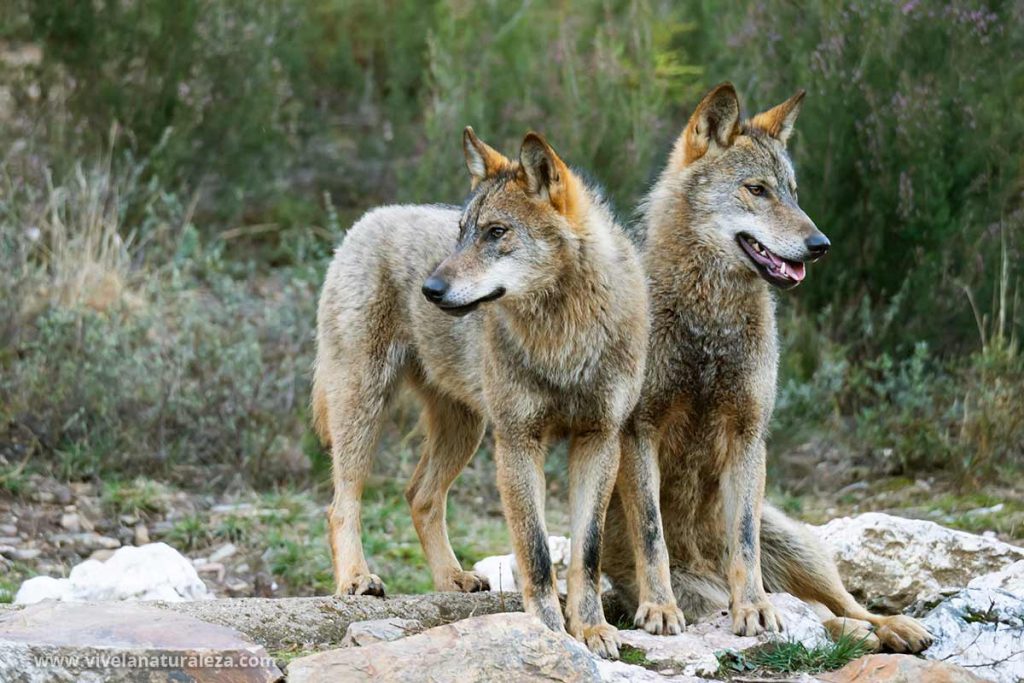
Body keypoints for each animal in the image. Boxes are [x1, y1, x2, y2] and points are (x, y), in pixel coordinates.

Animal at [311, 127, 663, 655]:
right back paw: (356, 579)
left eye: (496, 232)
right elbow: (535, 552)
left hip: (466, 429)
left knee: (420, 495)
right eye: (462, 232)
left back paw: (452, 578)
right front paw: (549, 631)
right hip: (364, 409)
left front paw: (592, 629)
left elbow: (588, 552)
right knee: (341, 505)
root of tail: (371, 217)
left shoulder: (599, 440)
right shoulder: (517, 442)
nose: (430, 290)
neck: (563, 337)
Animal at [606, 82, 937, 655]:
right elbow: (652, 535)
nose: (820, 245)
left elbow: (744, 547)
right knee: (821, 615)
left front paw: (754, 612)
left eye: (794, 192)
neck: (709, 324)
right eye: (757, 190)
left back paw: (892, 627)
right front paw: (659, 608)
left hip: (794, 545)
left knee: (840, 605)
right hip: (712, 589)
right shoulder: (639, 431)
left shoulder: (747, 432)